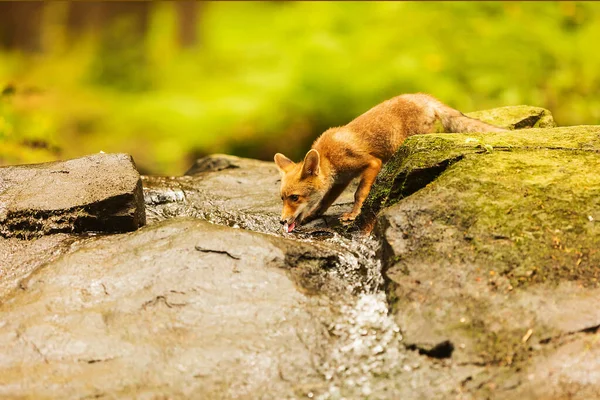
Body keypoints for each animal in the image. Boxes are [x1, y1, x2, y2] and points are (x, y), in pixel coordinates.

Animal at [274, 92, 504, 233]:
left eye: (294, 198)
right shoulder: (341, 180)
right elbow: (324, 202)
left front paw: (354, 214)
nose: (282, 221)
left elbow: (360, 194)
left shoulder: (371, 163)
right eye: (282, 198)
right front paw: (312, 215)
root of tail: (422, 96)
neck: (329, 157)